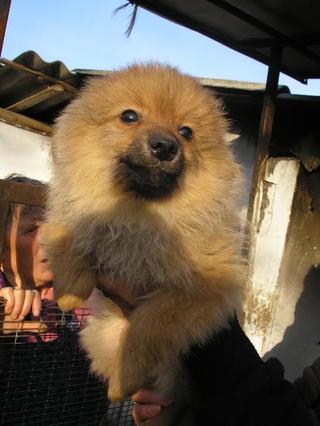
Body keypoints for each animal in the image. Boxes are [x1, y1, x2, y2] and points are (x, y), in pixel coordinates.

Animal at [43, 65, 244, 424]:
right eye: (130, 116)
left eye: (186, 132)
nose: (165, 145)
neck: (140, 212)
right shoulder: (73, 213)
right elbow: (67, 236)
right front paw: (70, 292)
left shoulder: (203, 288)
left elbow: (148, 326)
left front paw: (127, 372)